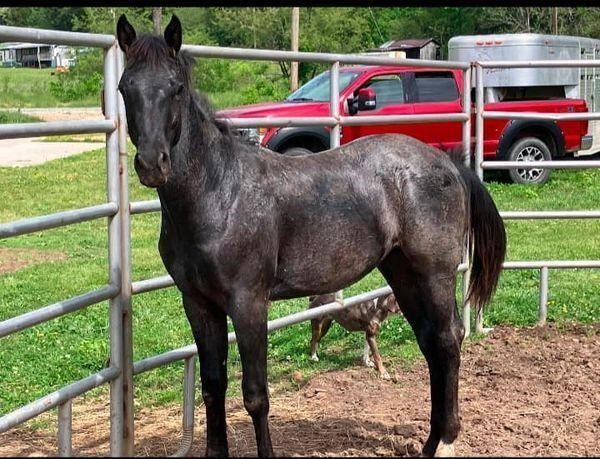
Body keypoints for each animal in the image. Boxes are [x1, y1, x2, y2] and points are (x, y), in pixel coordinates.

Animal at [116, 15, 506, 459]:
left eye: (176, 86)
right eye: (125, 86)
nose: (152, 164)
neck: (220, 191)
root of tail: (449, 163)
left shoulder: (249, 304)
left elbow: (255, 395)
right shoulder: (199, 304)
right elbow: (213, 387)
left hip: (434, 275)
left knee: (447, 340)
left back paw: (445, 441)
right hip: (403, 273)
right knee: (430, 342)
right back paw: (431, 442)